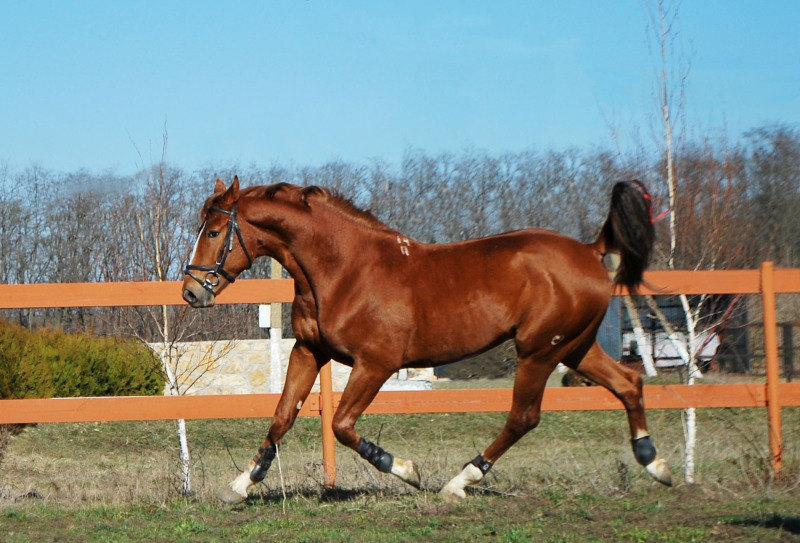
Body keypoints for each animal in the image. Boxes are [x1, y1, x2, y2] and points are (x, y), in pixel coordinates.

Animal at [184, 176, 672, 504]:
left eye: (214, 232)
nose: (191, 292)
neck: (343, 269)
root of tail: (590, 251)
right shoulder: (309, 352)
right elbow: (282, 416)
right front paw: (241, 484)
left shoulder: (376, 363)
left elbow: (342, 425)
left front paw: (406, 470)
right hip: (574, 348)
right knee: (629, 383)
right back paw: (655, 462)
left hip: (539, 352)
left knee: (523, 417)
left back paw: (460, 481)